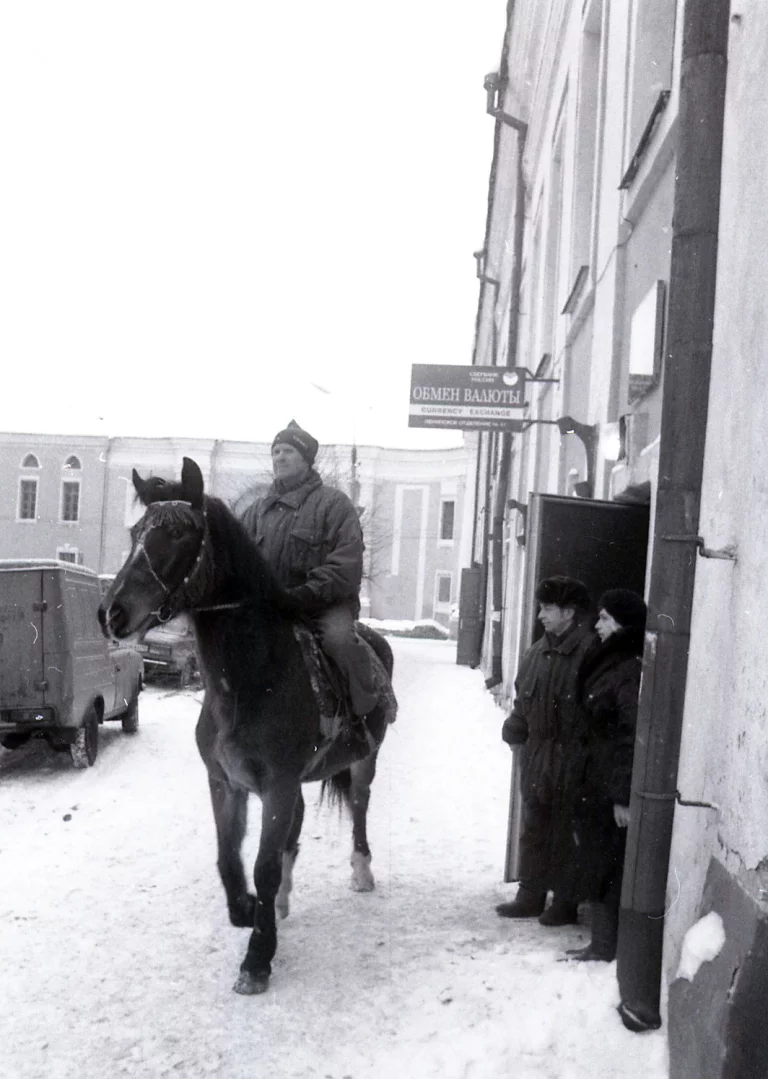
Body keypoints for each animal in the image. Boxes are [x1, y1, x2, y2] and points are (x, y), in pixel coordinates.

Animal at [97, 455, 396, 992]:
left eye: (178, 532)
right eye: (135, 531)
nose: (112, 613)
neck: (249, 680)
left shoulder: (276, 784)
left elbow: (262, 867)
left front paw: (258, 957)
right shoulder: (226, 783)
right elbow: (230, 861)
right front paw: (251, 912)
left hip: (364, 761)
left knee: (359, 807)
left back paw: (361, 872)